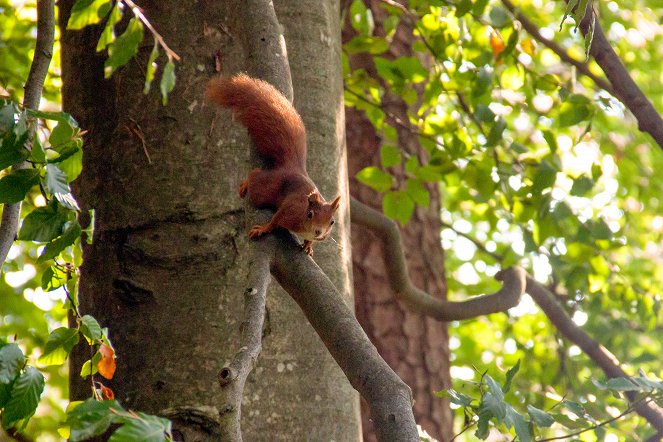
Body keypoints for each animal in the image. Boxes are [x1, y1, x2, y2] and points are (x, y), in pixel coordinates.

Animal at [205, 74, 340, 256]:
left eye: (332, 222)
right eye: (310, 214)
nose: (318, 232)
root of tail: (292, 167)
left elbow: (308, 241)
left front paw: (309, 245)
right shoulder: (289, 210)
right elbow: (275, 221)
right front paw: (263, 229)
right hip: (264, 190)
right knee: (255, 175)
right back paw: (246, 183)